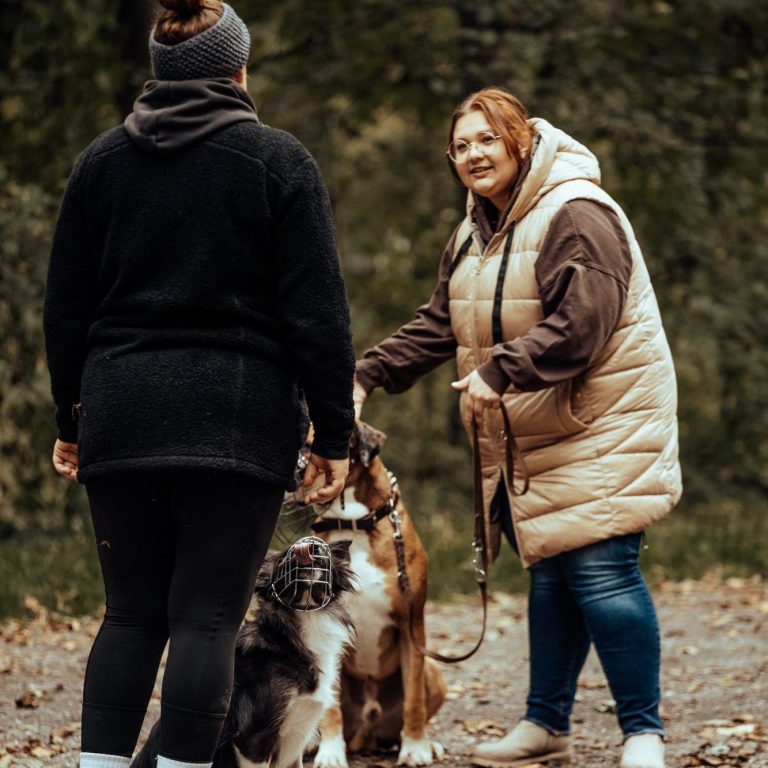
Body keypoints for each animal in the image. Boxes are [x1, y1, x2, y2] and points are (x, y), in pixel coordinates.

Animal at [131, 537, 355, 768]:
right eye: (285, 555)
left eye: (322, 550)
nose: (310, 548)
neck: (288, 638)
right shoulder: (254, 740)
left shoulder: (296, 743)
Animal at [297, 421, 446, 768]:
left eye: (309, 444)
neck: (354, 524)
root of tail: (367, 732)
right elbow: (331, 707)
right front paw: (331, 753)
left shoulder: (410, 626)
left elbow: (414, 700)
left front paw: (416, 748)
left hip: (434, 673)